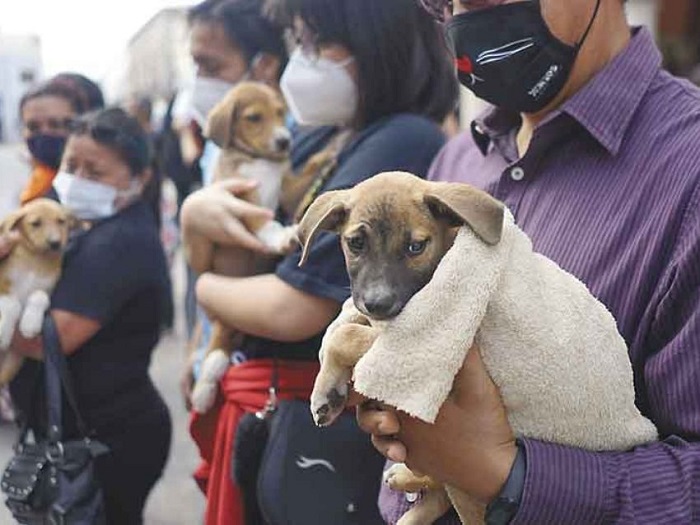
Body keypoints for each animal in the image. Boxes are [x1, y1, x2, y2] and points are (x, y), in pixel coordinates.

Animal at [0, 196, 72, 384]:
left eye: (61, 221)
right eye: (35, 223)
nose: (55, 243)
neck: (35, 259)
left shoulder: (49, 289)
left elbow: (38, 295)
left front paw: (30, 323)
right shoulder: (2, 284)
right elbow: (12, 304)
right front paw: (3, 332)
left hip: (11, 367)